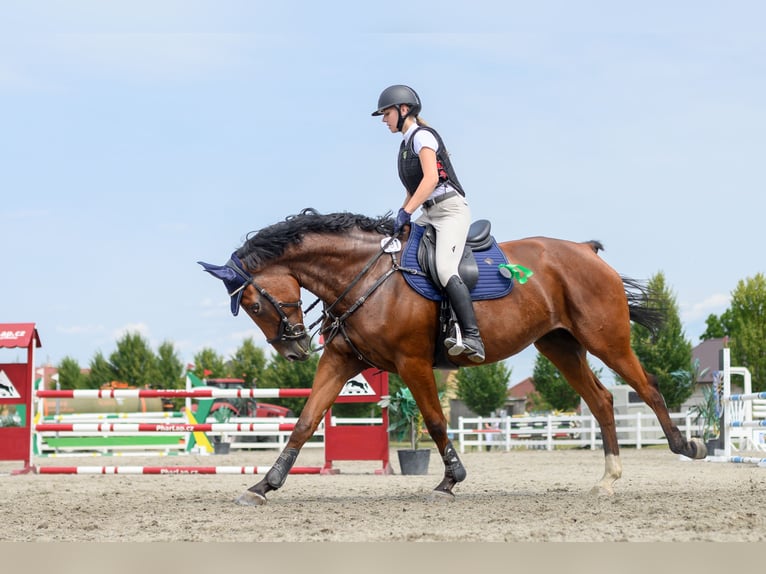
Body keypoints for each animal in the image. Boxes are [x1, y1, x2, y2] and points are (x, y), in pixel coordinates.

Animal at [200, 209, 708, 506]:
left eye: (253, 304)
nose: (294, 349)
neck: (362, 275)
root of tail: (586, 252)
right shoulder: (342, 361)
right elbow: (306, 422)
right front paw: (264, 485)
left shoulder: (412, 363)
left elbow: (436, 419)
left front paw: (451, 479)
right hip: (560, 346)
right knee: (602, 401)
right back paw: (607, 479)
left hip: (607, 341)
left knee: (647, 388)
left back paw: (688, 447)